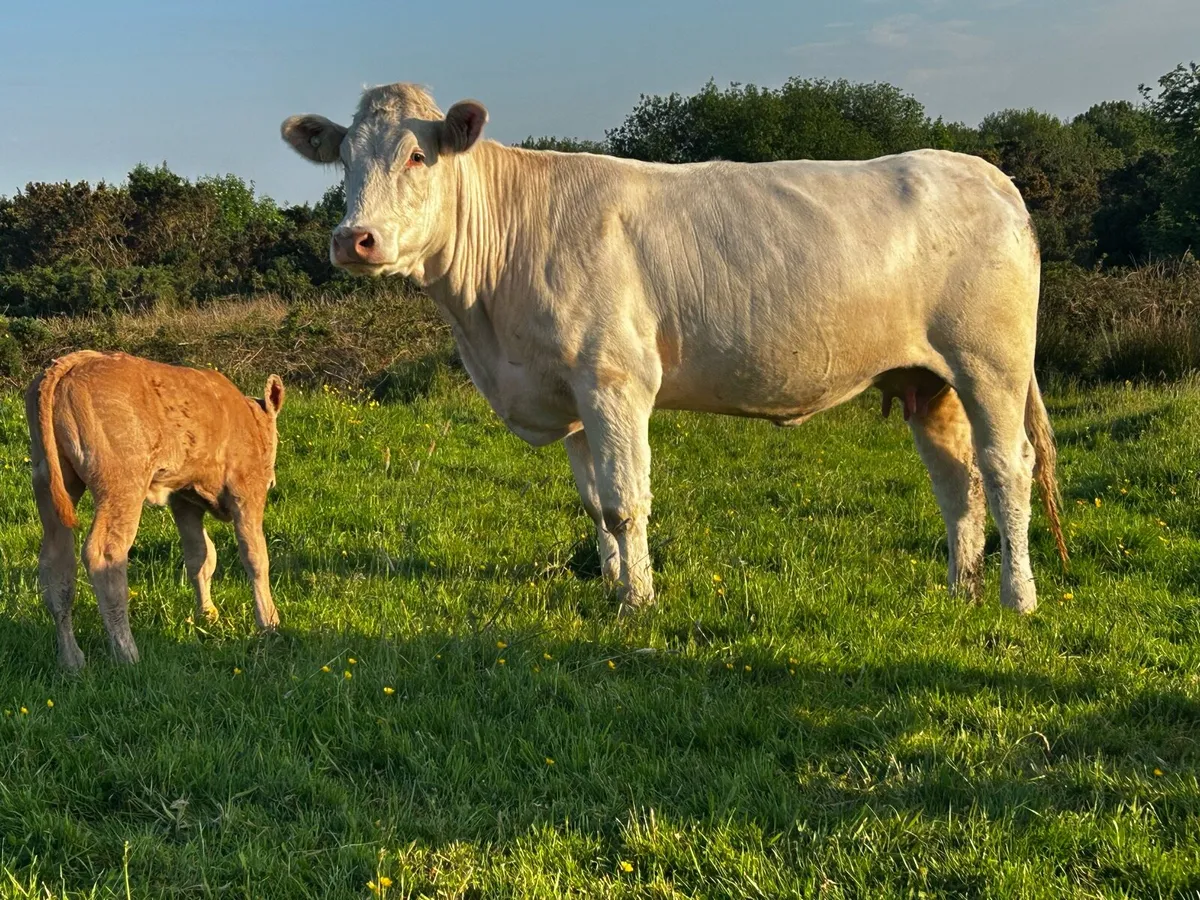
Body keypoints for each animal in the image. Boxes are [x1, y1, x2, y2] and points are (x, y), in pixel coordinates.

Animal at [26, 351, 286, 668]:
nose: (272, 480)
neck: (248, 419)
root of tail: (75, 362)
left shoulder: (184, 499)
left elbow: (200, 557)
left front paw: (207, 615)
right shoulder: (246, 491)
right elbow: (255, 556)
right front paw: (269, 622)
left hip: (51, 486)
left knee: (56, 565)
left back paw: (72, 659)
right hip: (122, 485)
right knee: (104, 555)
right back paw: (127, 653)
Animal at [281, 82, 1067, 615]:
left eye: (419, 155)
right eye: (342, 159)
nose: (353, 239)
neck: (490, 330)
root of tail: (989, 175)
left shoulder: (614, 378)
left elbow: (627, 499)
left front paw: (639, 602)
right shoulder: (568, 387)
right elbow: (596, 504)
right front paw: (612, 584)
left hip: (991, 363)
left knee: (1007, 468)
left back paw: (1017, 597)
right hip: (927, 379)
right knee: (956, 478)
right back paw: (961, 590)